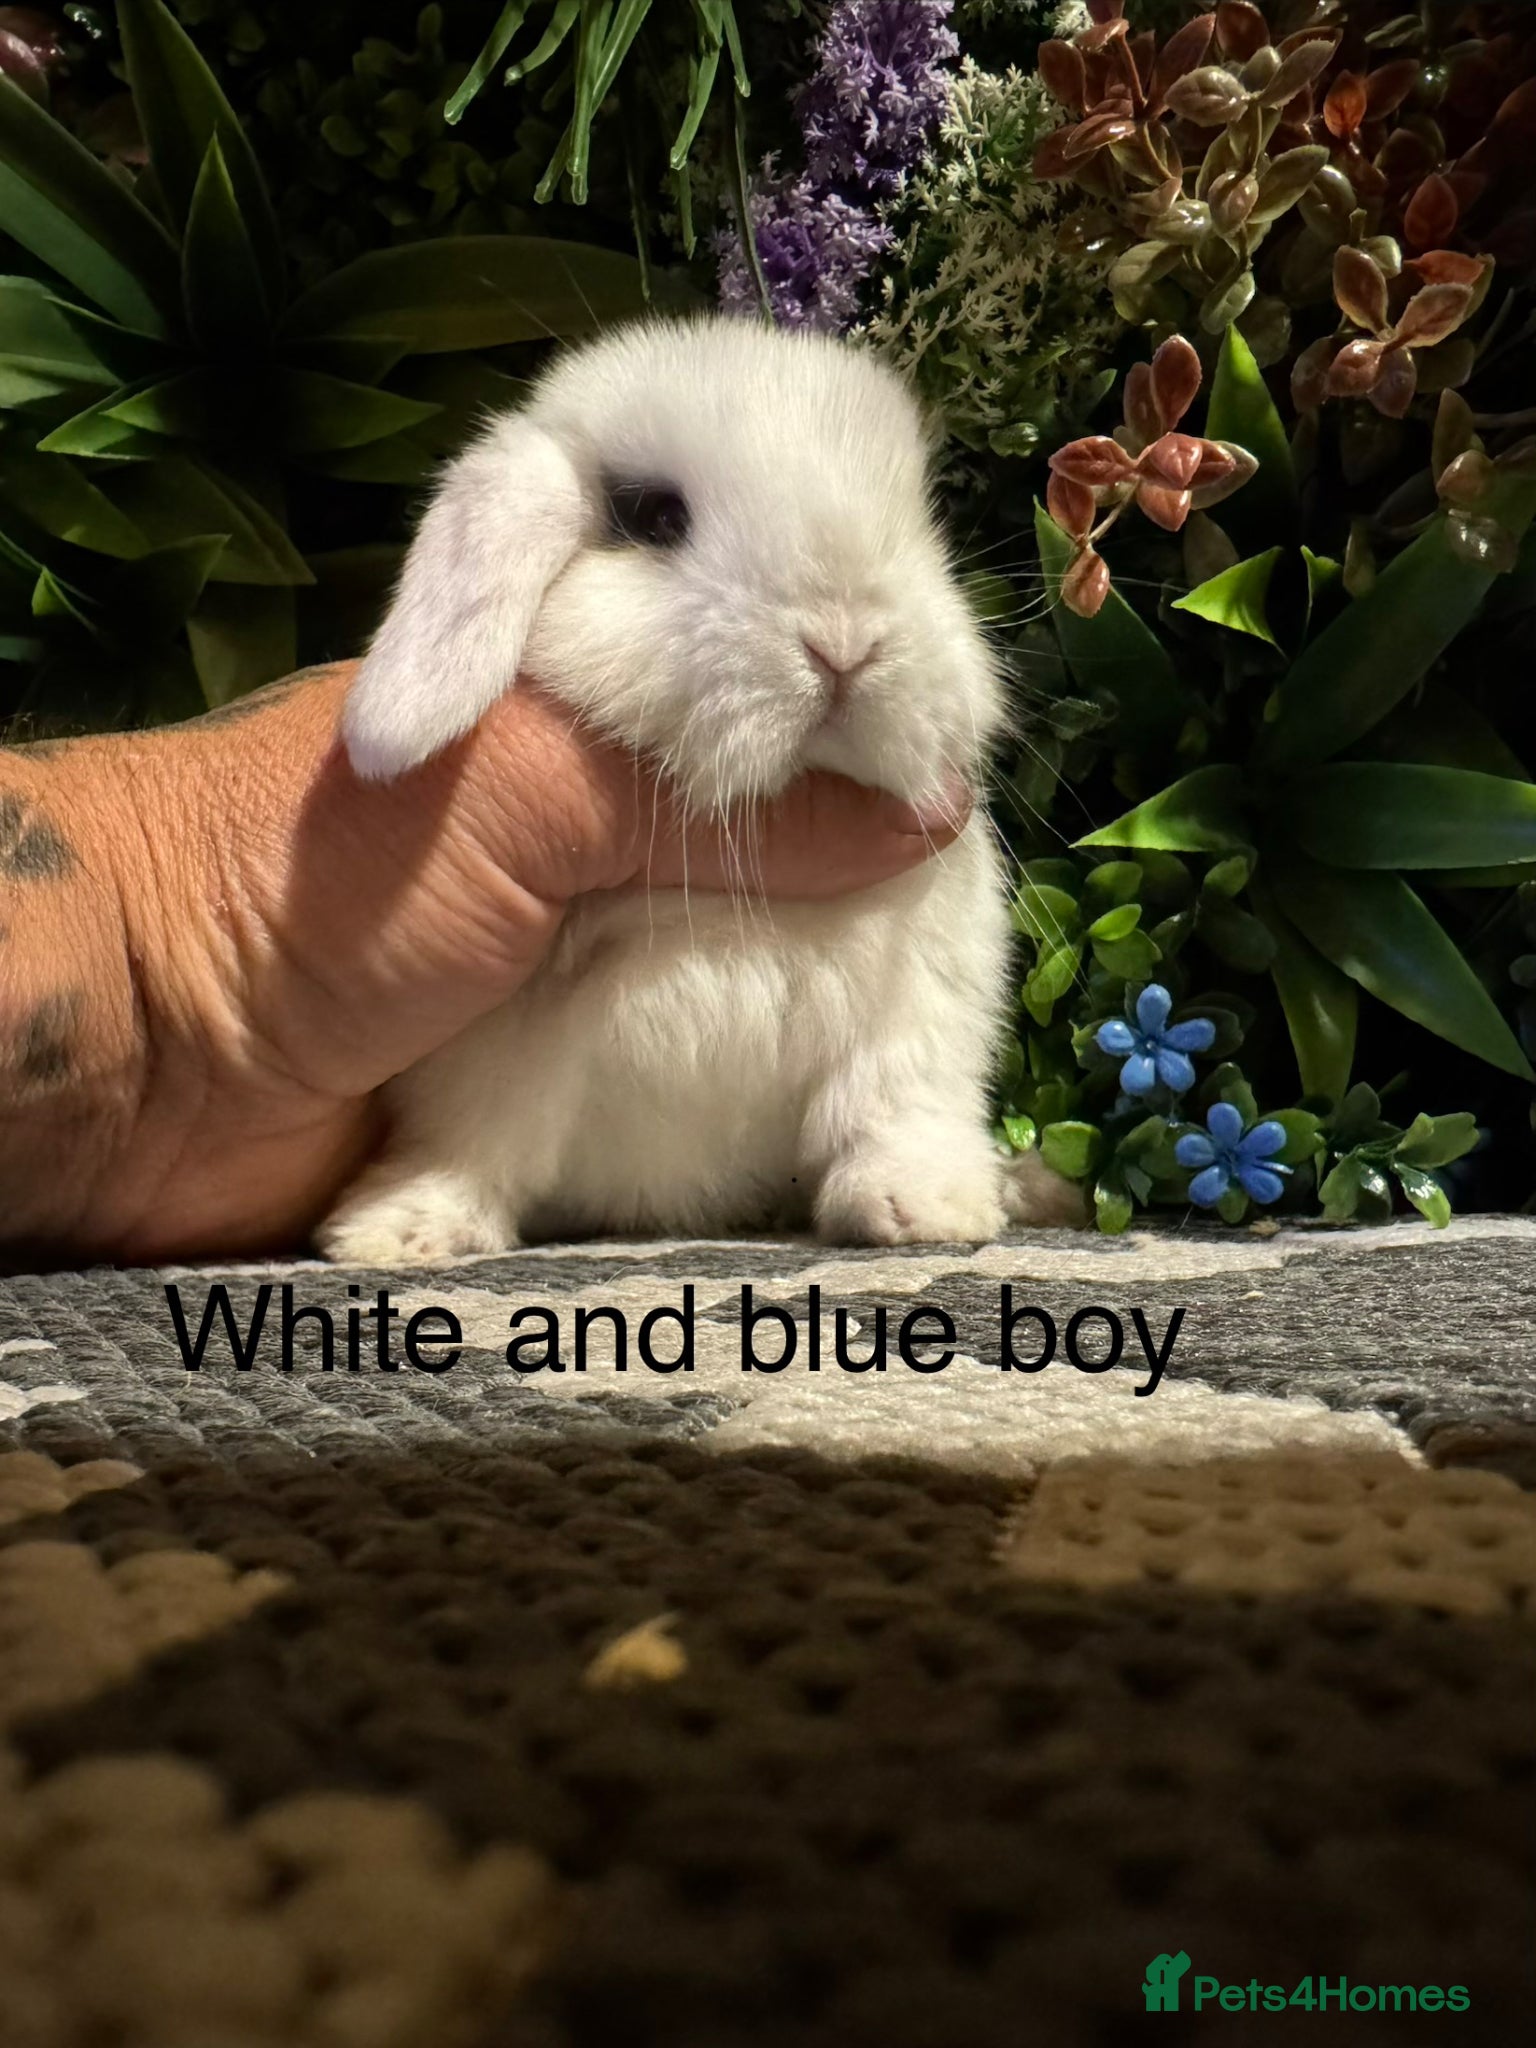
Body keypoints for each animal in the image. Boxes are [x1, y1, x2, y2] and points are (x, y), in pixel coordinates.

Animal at [318, 315, 1084, 1264]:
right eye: (655, 516)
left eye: (924, 521)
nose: (846, 641)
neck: (737, 906)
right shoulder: (482, 1053)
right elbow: (473, 1141)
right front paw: (398, 1229)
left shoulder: (918, 1010)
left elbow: (895, 1109)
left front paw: (928, 1209)